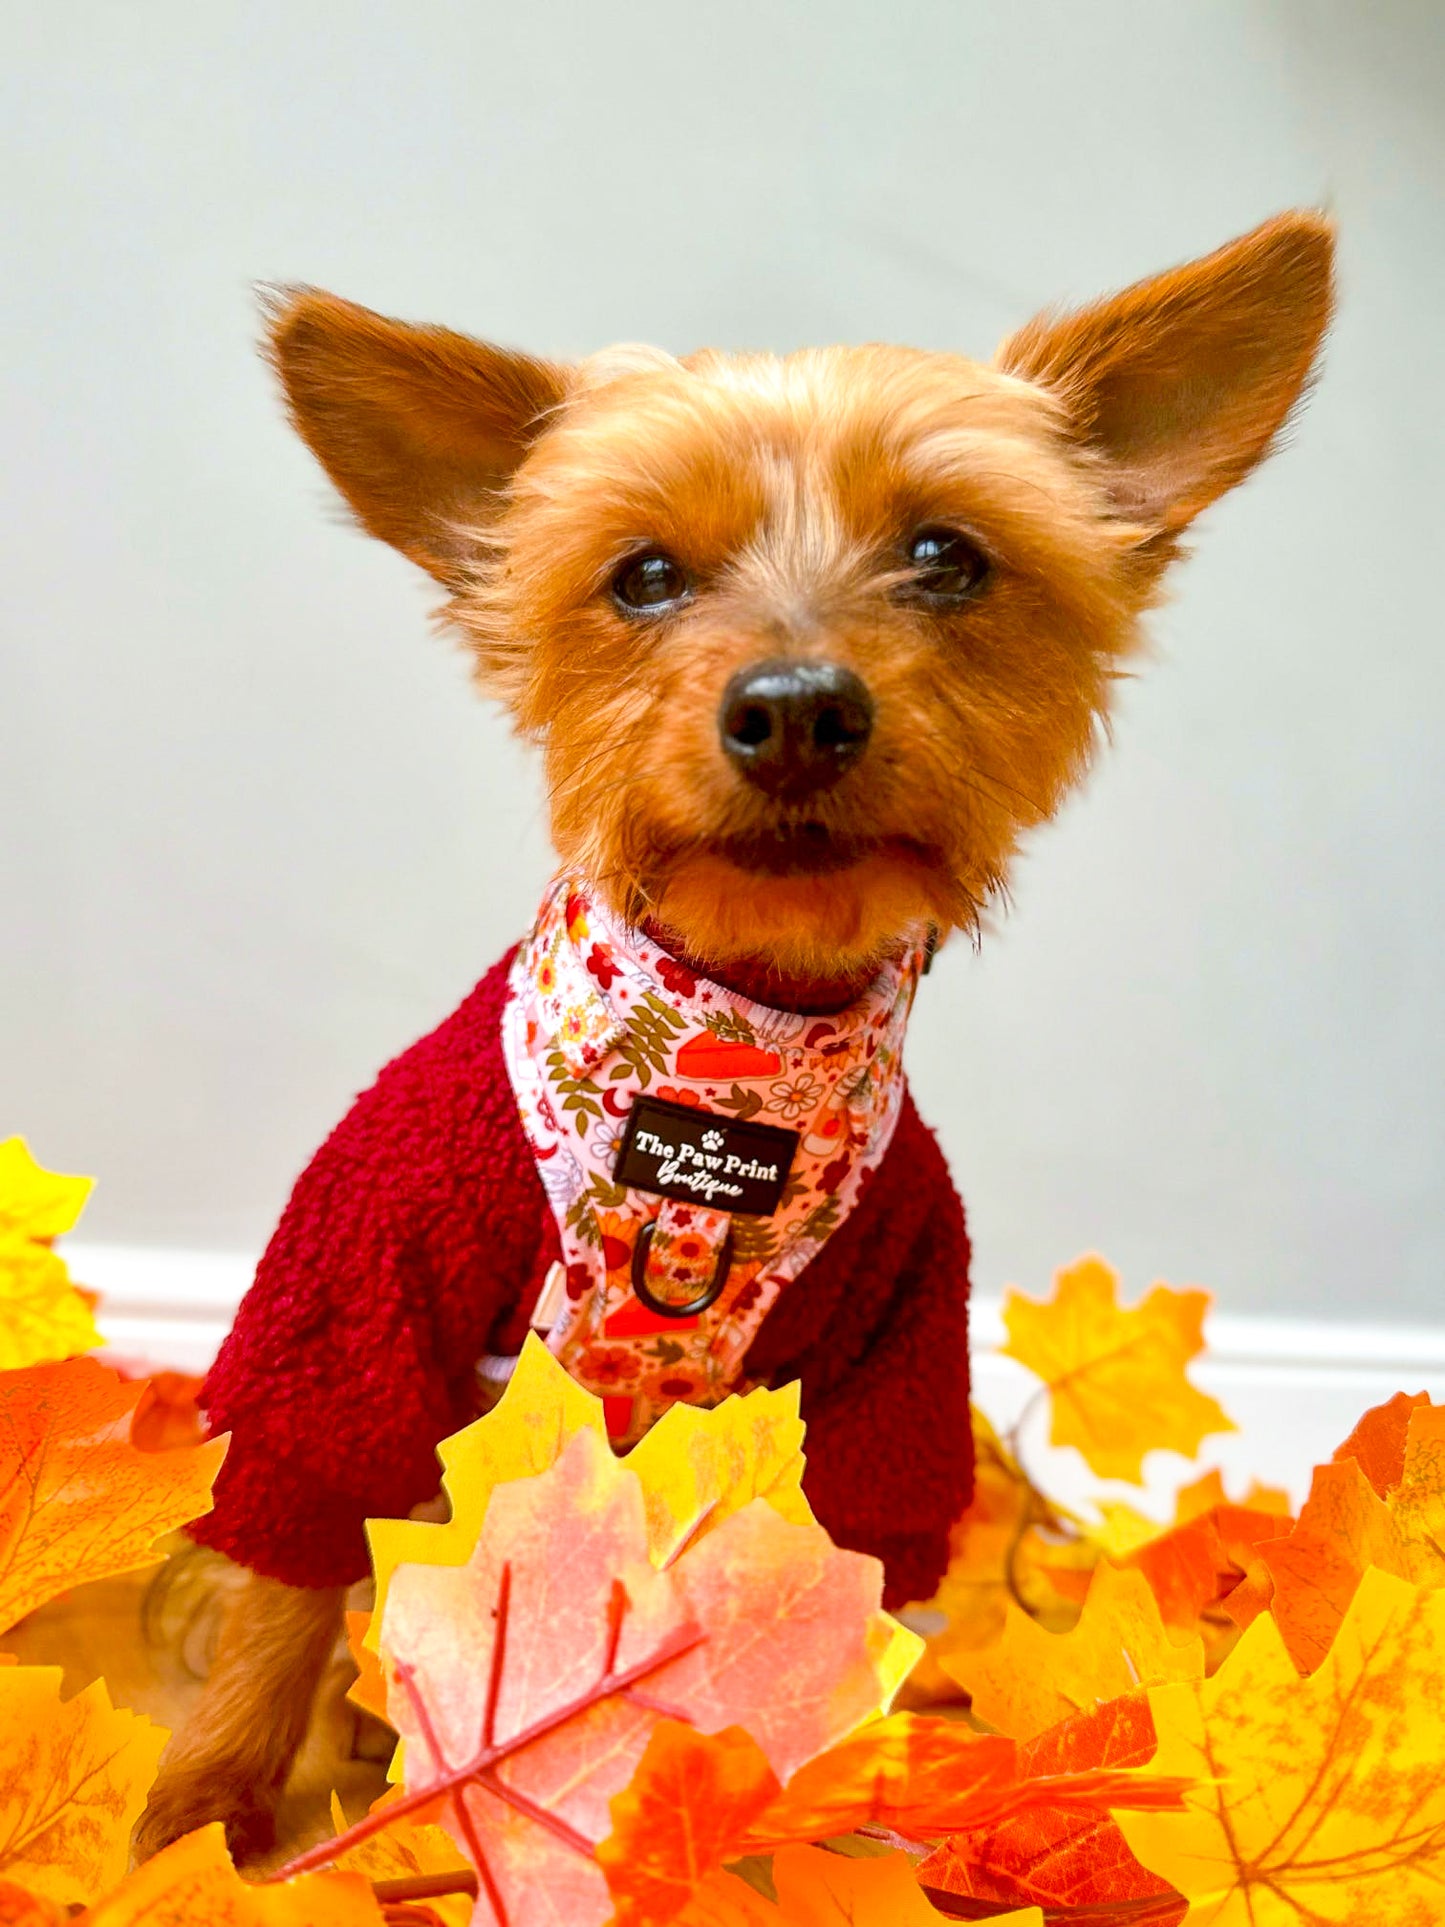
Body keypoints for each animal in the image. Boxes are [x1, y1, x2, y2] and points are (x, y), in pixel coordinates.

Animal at [135, 207, 1333, 1849]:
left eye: (947, 557)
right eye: (641, 575)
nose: (796, 709)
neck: (739, 1053)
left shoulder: (891, 1363)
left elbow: (845, 1590)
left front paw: (846, 1815)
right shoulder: (362, 1305)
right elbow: (286, 1569)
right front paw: (200, 1824)